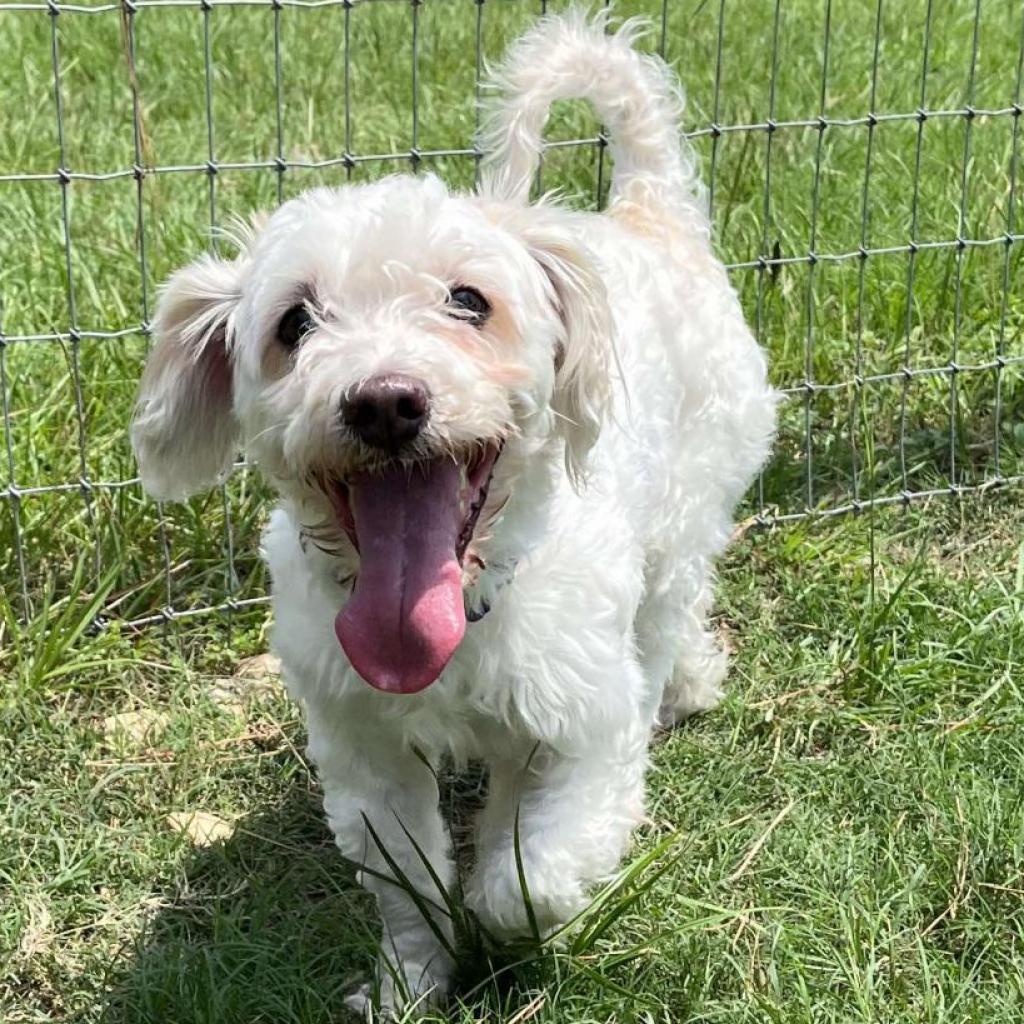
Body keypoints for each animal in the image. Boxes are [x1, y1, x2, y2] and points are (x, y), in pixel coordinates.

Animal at [134, 8, 774, 1011]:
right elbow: (411, 883)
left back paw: (684, 683)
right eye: (294, 323)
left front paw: (514, 922)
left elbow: (528, 876)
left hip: (684, 528)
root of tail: (647, 208)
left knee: (673, 612)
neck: (464, 614)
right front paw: (410, 982)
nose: (384, 400)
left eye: (469, 301)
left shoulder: (583, 725)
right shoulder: (364, 753)